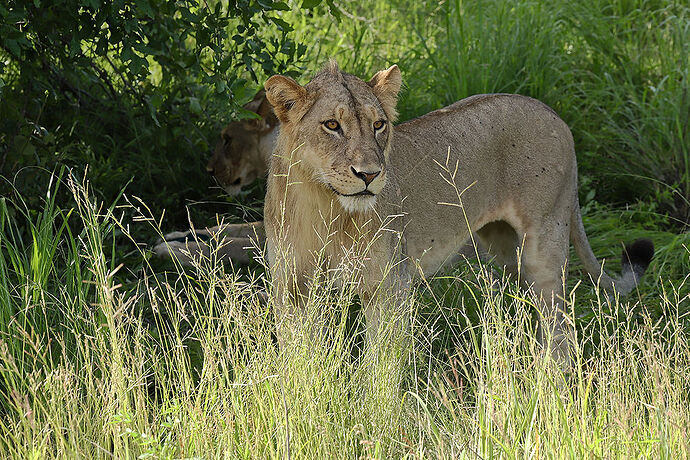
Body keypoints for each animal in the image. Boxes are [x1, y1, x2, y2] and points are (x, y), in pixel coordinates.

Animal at [260, 60, 652, 362]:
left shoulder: (388, 288)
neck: (325, 208)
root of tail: (553, 113)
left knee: (558, 317)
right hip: (504, 247)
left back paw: (549, 378)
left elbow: (381, 368)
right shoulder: (290, 289)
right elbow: (298, 361)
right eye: (332, 125)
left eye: (378, 125)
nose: (370, 174)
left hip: (544, 240)